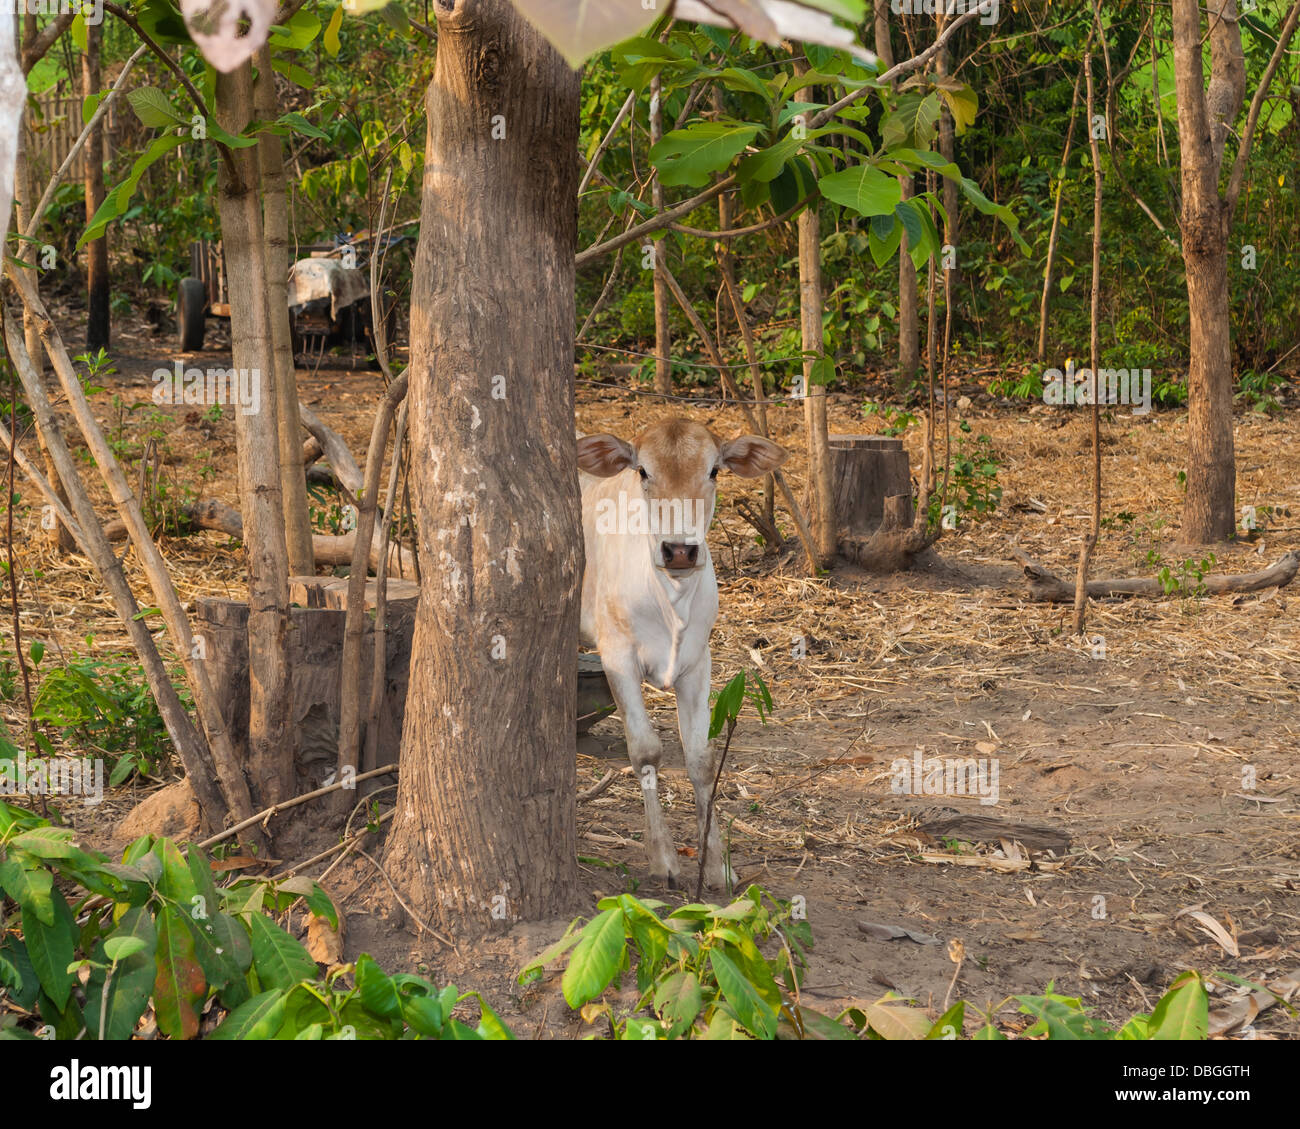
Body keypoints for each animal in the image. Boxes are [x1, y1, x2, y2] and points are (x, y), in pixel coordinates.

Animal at [582, 418, 785, 884]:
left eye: (713, 471)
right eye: (642, 470)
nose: (679, 550)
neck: (672, 600)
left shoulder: (698, 662)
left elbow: (701, 758)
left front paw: (715, 863)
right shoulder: (616, 656)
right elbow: (645, 750)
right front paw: (663, 857)